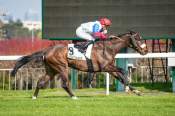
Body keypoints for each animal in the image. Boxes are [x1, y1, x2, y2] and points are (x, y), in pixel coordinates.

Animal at [10, 31, 148, 99]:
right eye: (138, 38)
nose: (145, 51)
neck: (108, 48)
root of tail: (46, 51)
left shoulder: (109, 69)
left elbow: (121, 78)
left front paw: (137, 92)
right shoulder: (105, 67)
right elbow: (123, 72)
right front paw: (133, 88)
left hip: (51, 70)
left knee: (40, 82)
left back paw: (34, 97)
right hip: (62, 67)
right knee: (65, 84)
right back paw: (74, 97)